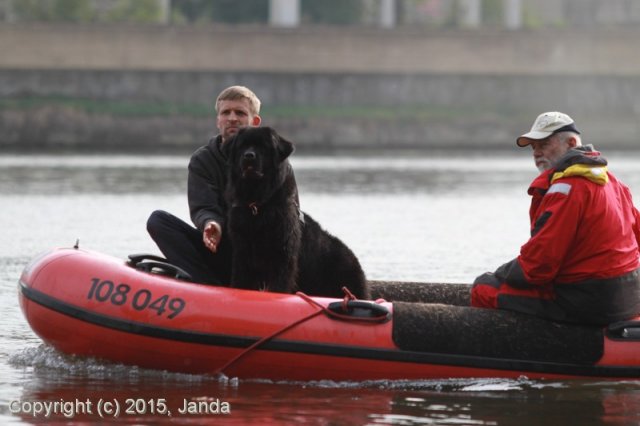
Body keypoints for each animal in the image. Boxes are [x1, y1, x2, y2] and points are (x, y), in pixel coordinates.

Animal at [222, 126, 370, 300]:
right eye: (242, 146)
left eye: (262, 146)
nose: (249, 155)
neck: (257, 206)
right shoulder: (242, 253)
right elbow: (240, 281)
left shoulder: (282, 255)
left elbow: (279, 285)